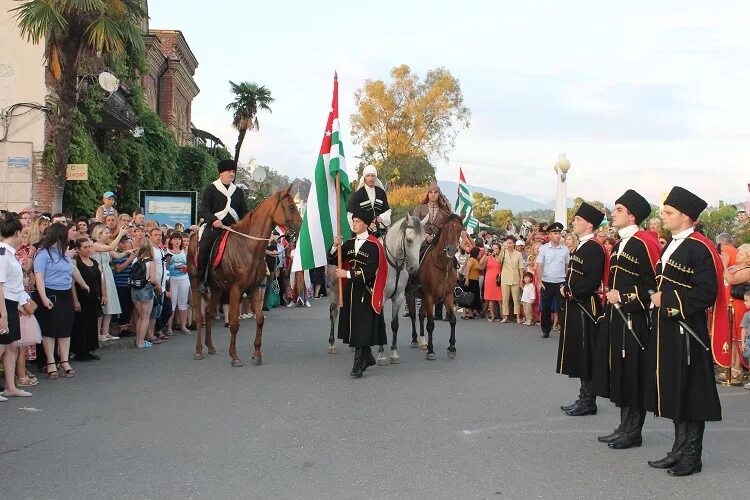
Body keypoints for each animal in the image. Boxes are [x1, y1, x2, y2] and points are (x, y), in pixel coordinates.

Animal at [187, 188, 302, 368]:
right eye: (291, 206)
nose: (301, 225)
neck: (249, 248)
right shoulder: (236, 290)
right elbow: (234, 323)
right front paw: (234, 357)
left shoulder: (254, 288)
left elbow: (260, 320)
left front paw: (257, 355)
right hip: (195, 283)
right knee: (199, 316)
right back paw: (199, 350)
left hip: (216, 288)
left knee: (208, 314)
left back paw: (210, 346)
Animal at [326, 215, 426, 364]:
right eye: (409, 240)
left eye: (423, 241)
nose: (414, 269)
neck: (393, 264)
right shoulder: (379, 296)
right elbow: (381, 323)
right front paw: (381, 354)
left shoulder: (398, 297)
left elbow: (394, 324)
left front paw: (394, 353)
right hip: (334, 290)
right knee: (333, 313)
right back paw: (332, 344)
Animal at [406, 215, 464, 360]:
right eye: (446, 227)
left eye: (460, 229)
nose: (452, 250)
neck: (442, 266)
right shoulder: (429, 296)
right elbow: (431, 324)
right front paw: (431, 350)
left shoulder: (448, 296)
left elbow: (452, 320)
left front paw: (452, 348)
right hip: (410, 294)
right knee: (413, 315)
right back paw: (415, 339)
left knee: (421, 314)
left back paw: (422, 341)